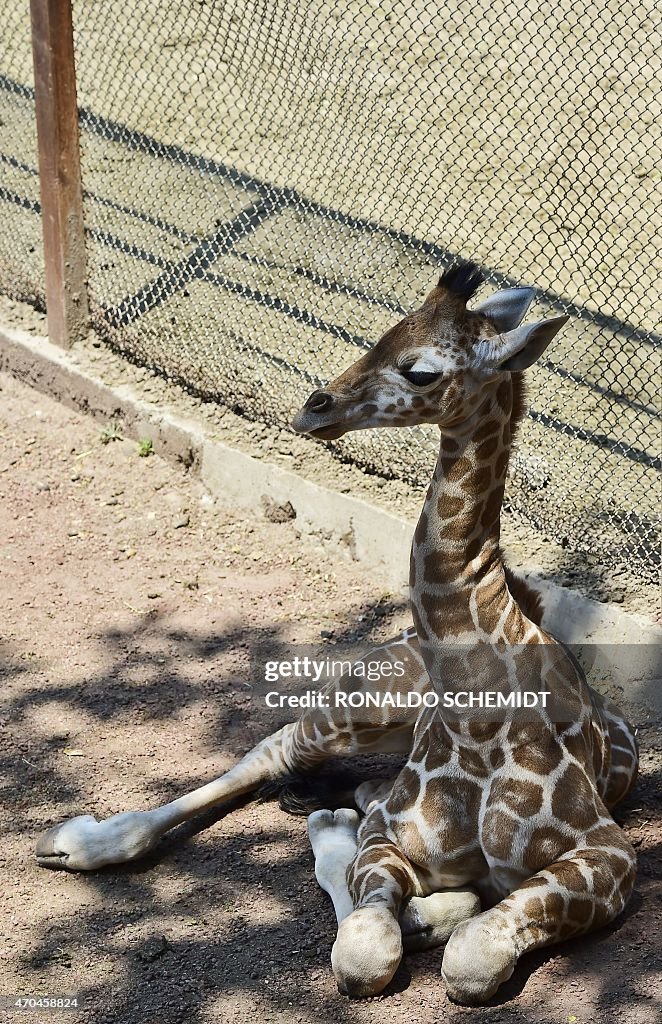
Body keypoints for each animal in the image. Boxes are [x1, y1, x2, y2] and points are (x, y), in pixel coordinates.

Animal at [295, 262, 639, 999]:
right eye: (386, 328)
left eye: (420, 371)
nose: (315, 408)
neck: (475, 714)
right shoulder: (390, 838)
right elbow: (363, 950)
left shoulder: (609, 851)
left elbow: (472, 958)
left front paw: (448, 915)